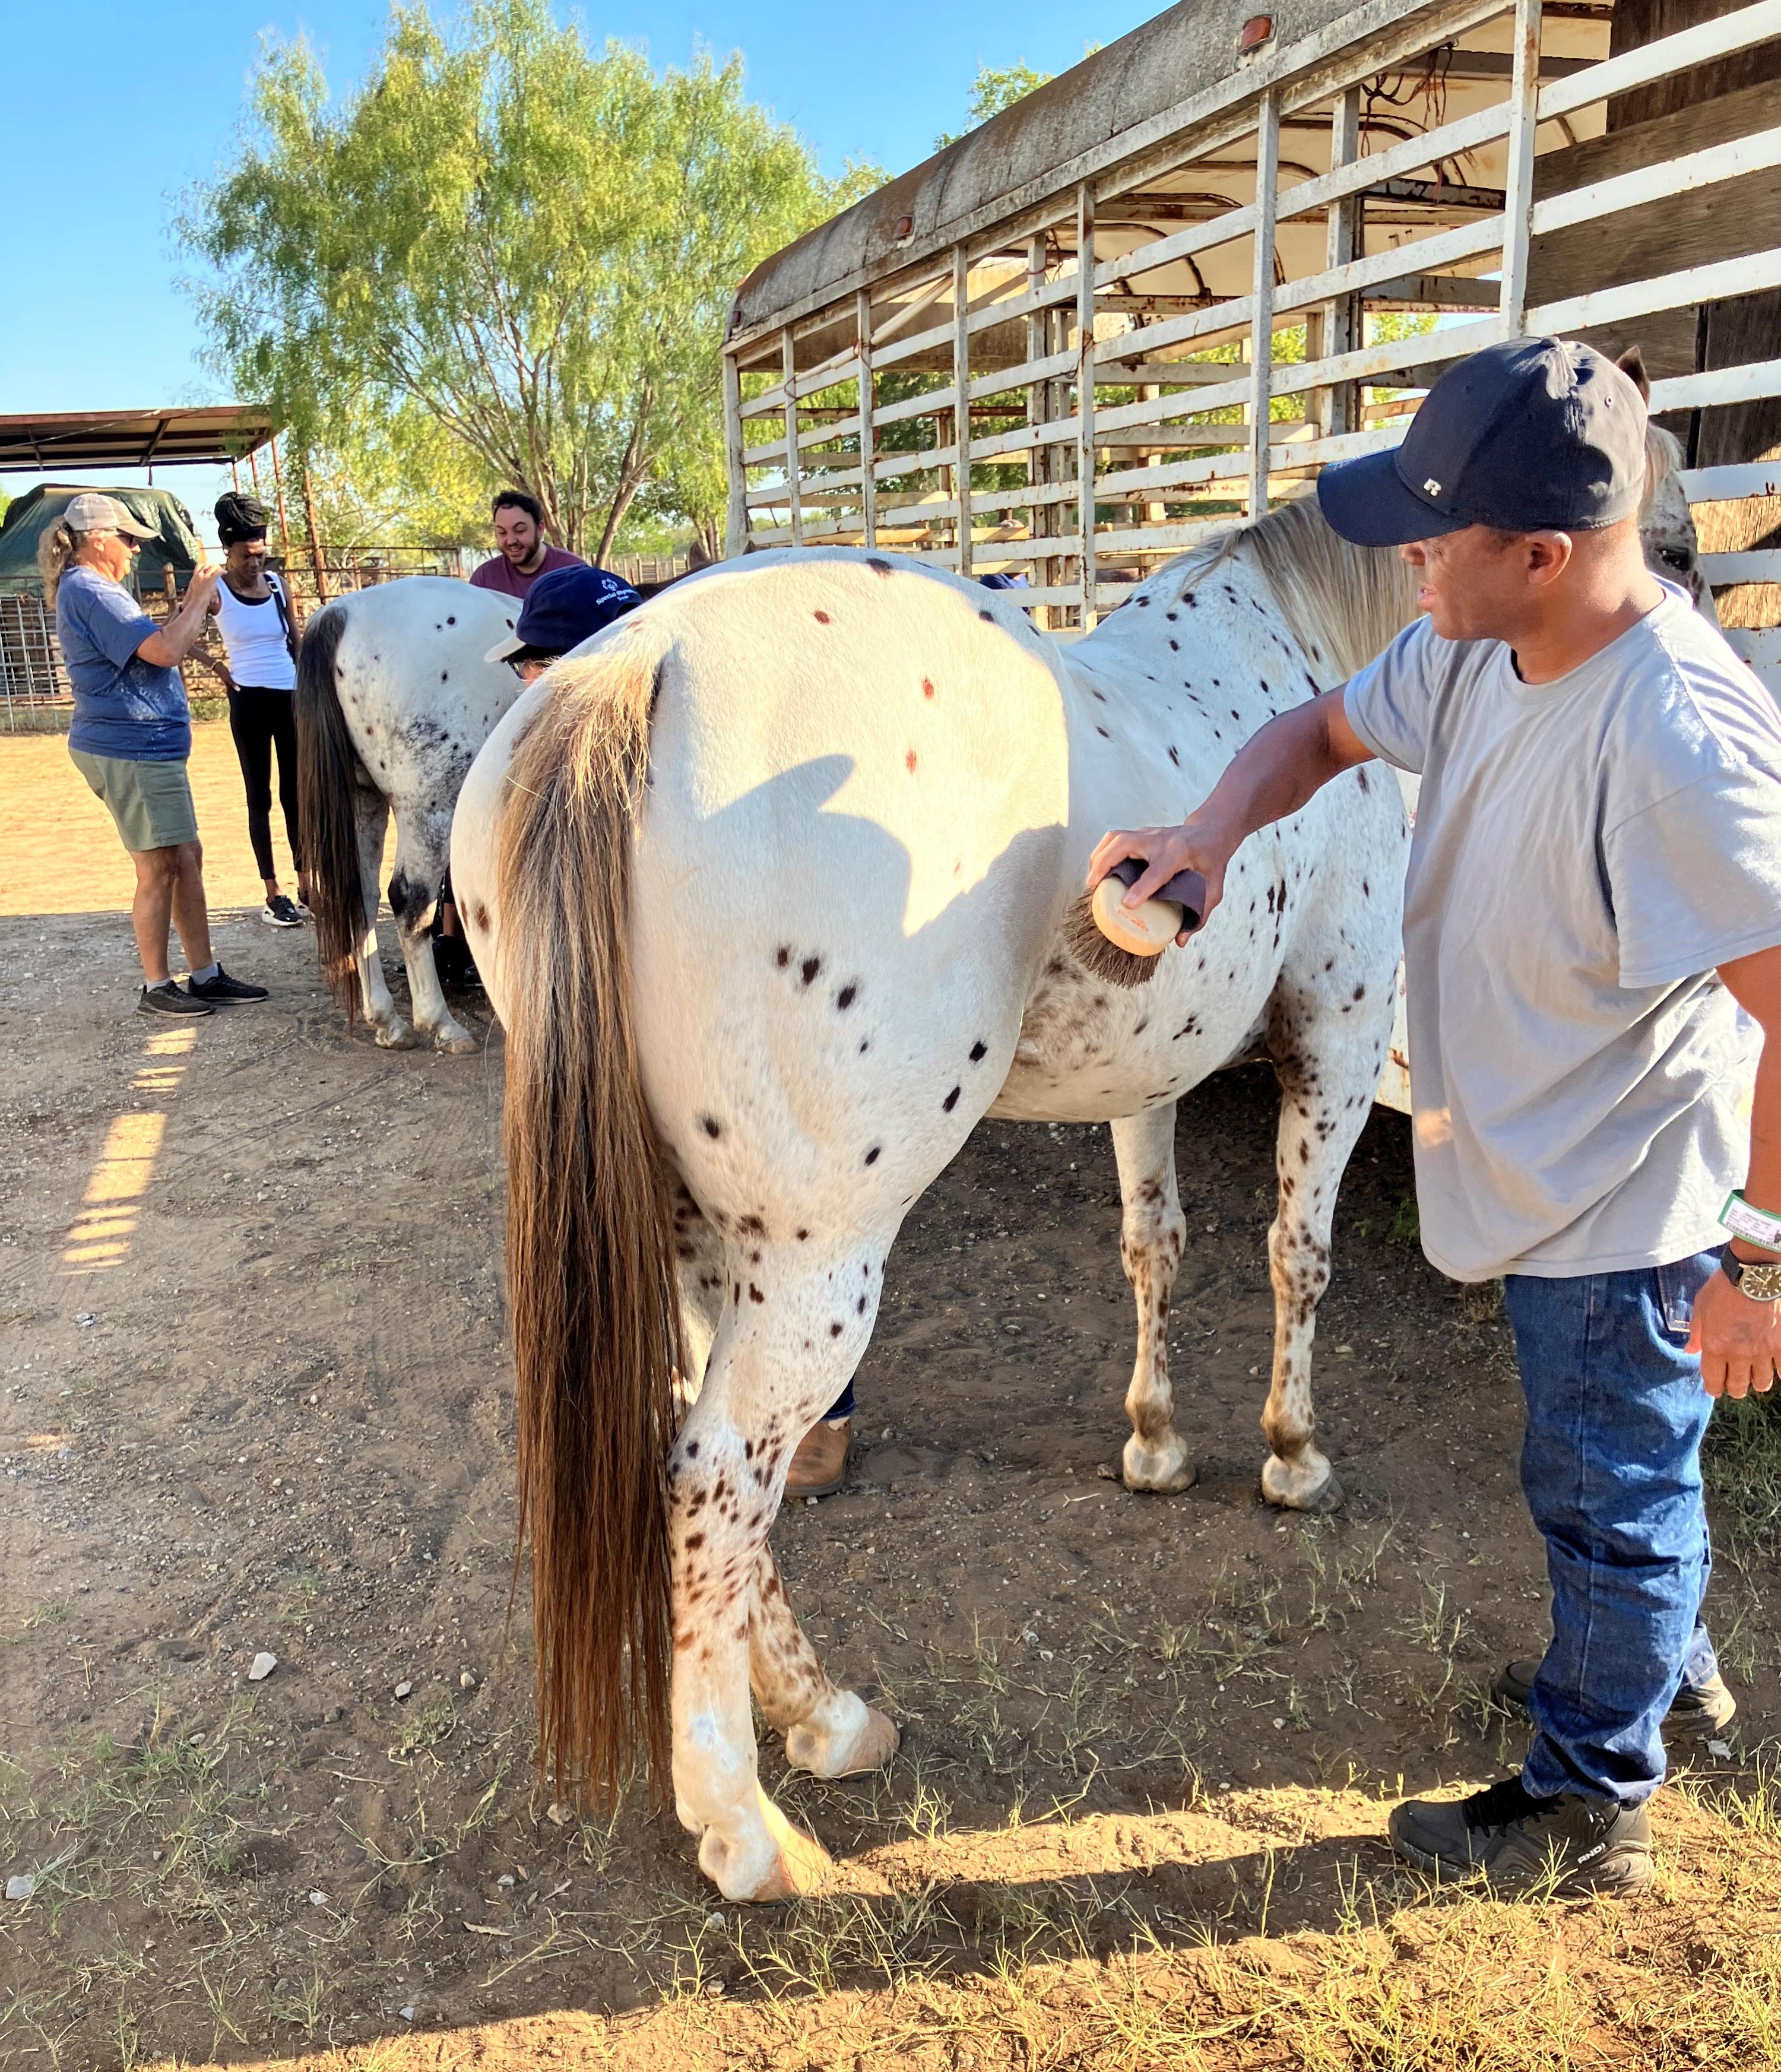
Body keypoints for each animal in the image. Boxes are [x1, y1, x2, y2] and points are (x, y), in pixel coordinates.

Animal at [294, 577, 524, 1051]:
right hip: (429, 805)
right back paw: (440, 1022)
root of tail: (341, 614)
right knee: (409, 900)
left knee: (361, 898)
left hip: (364, 801)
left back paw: (386, 1018)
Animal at [448, 494, 1430, 1903]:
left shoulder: (1152, 1074)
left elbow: (1156, 1245)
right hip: (819, 1259)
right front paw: (1293, 1455)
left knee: (709, 1466)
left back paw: (823, 1717)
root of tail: (630, 670)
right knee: (715, 1474)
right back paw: (745, 1827)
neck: (1289, 656)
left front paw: (1156, 1440)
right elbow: (1299, 1253)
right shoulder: (1339, 1041)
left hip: (707, 1244)